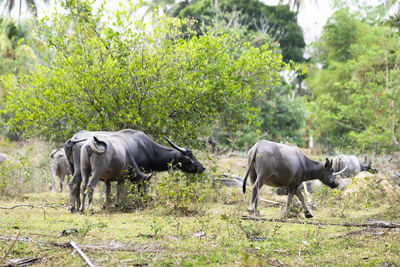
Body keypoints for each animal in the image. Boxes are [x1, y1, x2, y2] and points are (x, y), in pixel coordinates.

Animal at [65, 130, 206, 214]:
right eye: (190, 155)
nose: (202, 167)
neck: (148, 148)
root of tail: (73, 139)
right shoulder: (138, 171)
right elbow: (133, 188)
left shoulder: (109, 177)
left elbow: (109, 190)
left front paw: (107, 204)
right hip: (85, 170)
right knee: (80, 184)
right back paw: (80, 208)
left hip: (77, 168)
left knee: (77, 185)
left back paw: (77, 207)